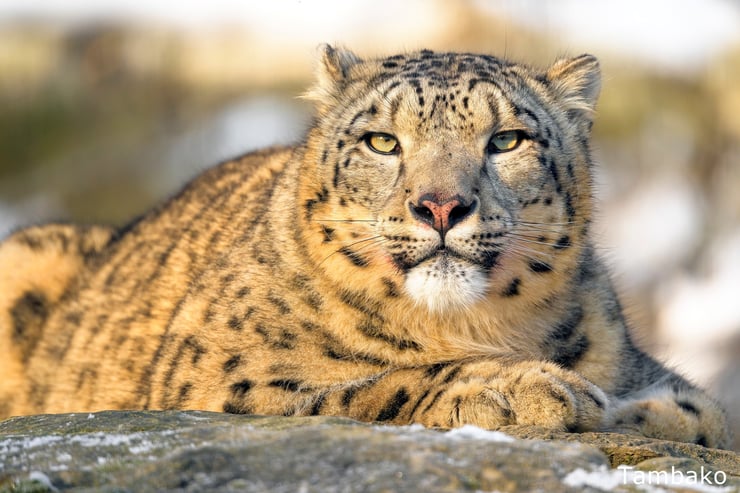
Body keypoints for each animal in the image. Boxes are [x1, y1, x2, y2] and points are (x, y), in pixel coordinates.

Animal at [0, 45, 731, 449]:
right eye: (382, 141)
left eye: (506, 140)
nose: (441, 206)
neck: (468, 325)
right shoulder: (224, 382)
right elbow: (369, 386)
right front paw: (521, 389)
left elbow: (711, 413)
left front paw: (640, 410)